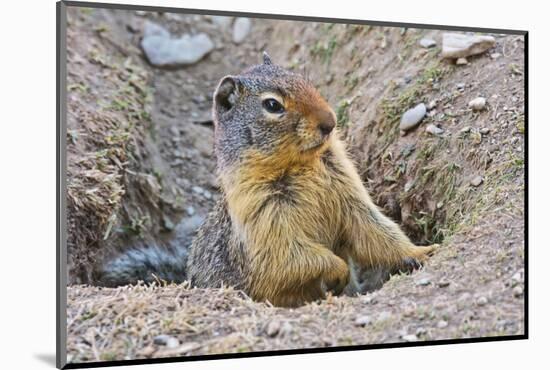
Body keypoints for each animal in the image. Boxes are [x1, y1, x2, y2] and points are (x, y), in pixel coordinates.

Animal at [101, 52, 438, 306]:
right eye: (272, 105)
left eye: (306, 81)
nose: (330, 122)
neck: (300, 165)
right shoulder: (262, 214)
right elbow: (289, 254)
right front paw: (338, 271)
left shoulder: (349, 191)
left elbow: (374, 229)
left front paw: (423, 252)